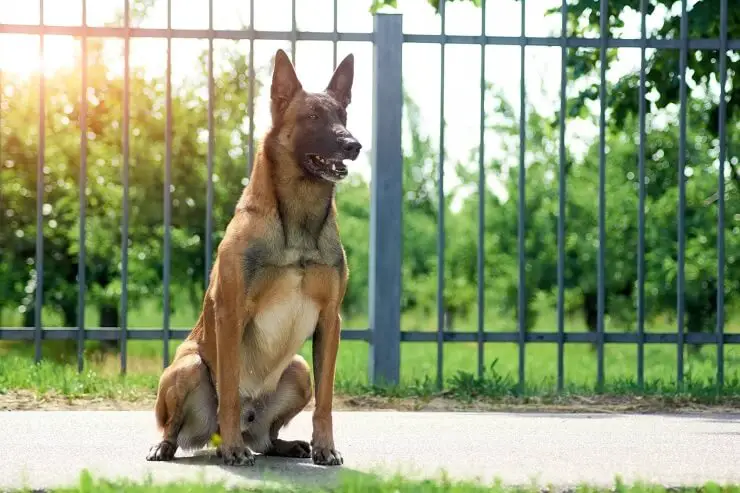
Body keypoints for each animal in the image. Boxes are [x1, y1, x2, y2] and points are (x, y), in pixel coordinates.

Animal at [145, 47, 362, 466]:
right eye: (312, 117)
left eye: (342, 116)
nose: (353, 145)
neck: (298, 221)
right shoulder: (231, 313)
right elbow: (228, 390)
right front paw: (232, 451)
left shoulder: (331, 320)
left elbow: (326, 400)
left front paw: (325, 447)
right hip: (187, 368)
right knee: (178, 425)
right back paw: (183, 445)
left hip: (298, 370)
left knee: (266, 436)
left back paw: (283, 445)